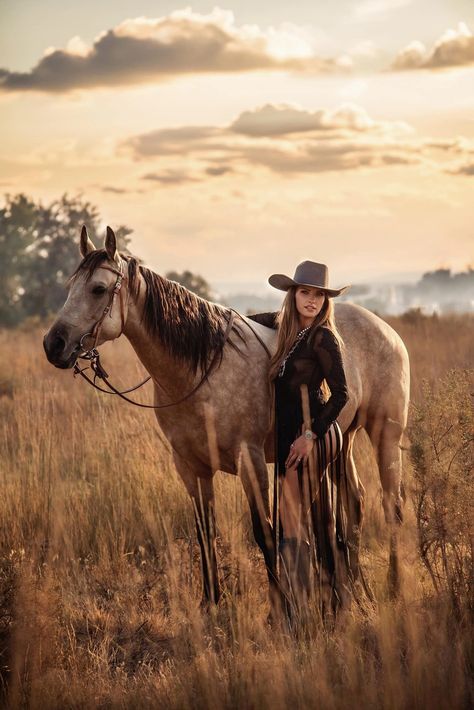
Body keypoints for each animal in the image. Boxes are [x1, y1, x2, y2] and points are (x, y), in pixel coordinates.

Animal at [42, 227, 410, 612]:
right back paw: (355, 587)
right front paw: (211, 602)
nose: (54, 344)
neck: (203, 369)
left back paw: (393, 585)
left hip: (384, 435)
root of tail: (387, 330)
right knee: (354, 502)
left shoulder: (250, 460)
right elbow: (205, 532)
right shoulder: (190, 467)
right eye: (70, 286)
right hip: (343, 440)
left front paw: (280, 606)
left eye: (98, 288)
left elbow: (265, 533)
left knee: (391, 505)